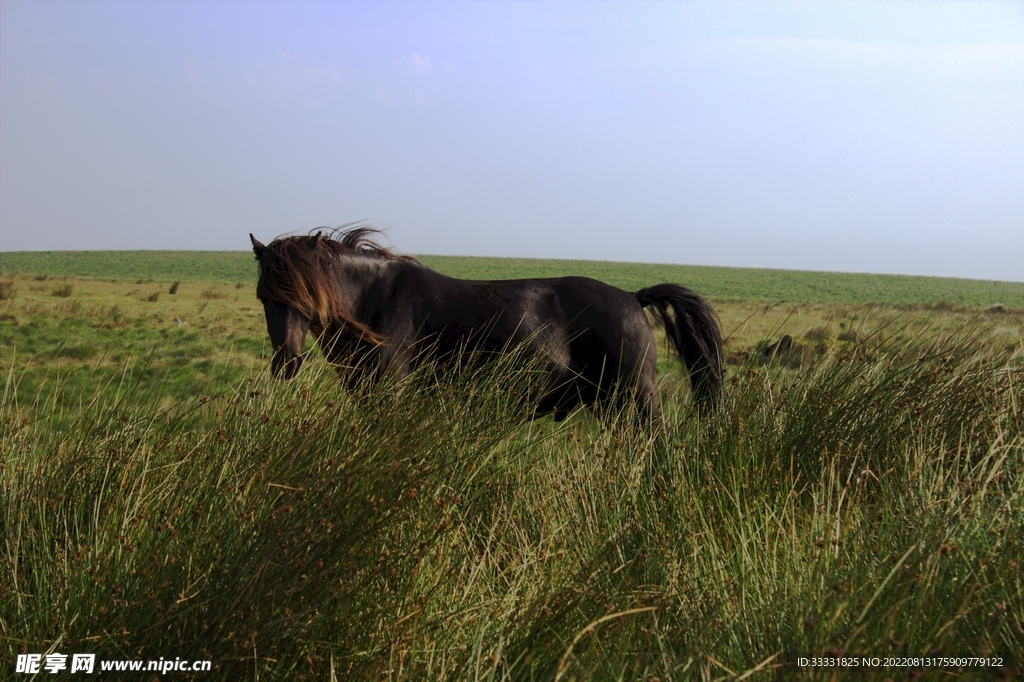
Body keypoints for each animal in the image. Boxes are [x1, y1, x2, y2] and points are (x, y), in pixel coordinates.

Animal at [250, 227, 722, 421]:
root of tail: (632, 298)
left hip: (636, 402)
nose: (287, 361)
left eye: (307, 298)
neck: (375, 301)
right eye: (264, 297)